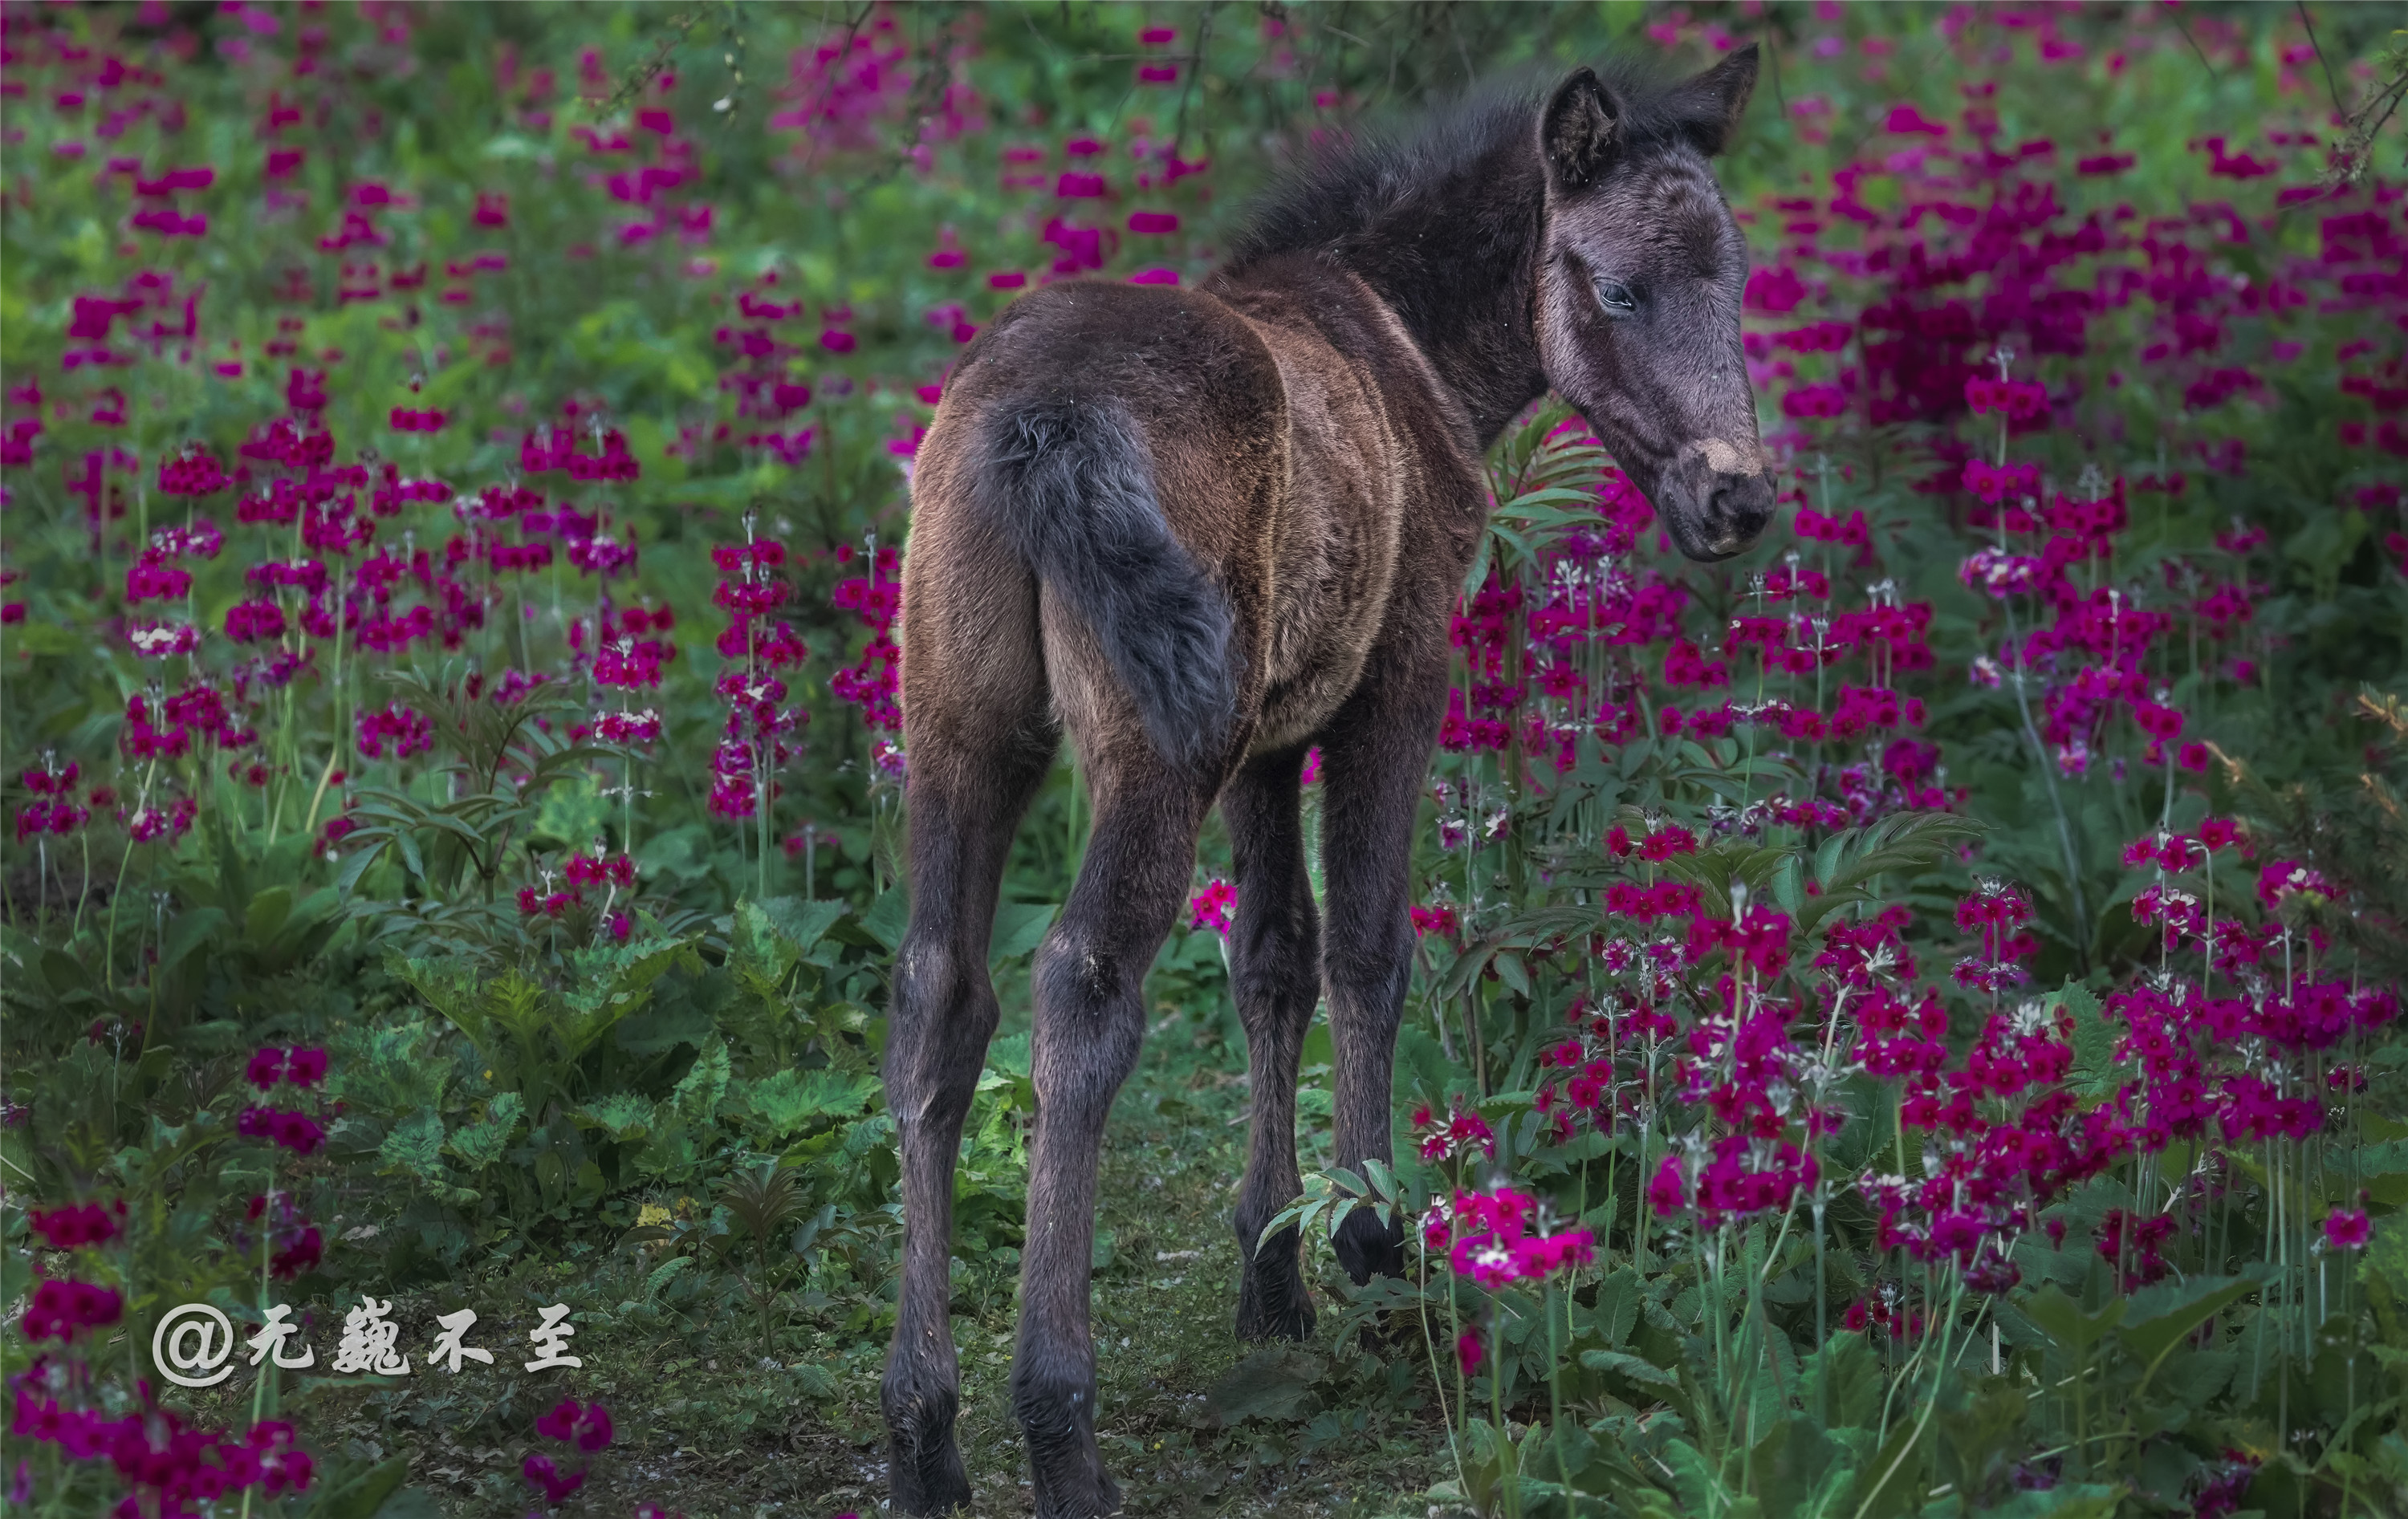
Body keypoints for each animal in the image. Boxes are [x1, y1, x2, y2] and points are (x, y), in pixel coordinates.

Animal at [881, 51, 1772, 1519]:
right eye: (1617, 287)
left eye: (1737, 281)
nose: (1738, 500)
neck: (1411, 341)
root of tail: (1033, 426)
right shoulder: (1394, 676)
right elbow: (1366, 942)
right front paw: (1369, 1233)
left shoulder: (1270, 733)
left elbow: (1271, 959)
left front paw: (1273, 1268)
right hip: (1150, 748)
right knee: (1082, 989)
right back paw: (1059, 1427)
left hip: (965, 728)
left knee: (941, 994)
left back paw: (923, 1434)